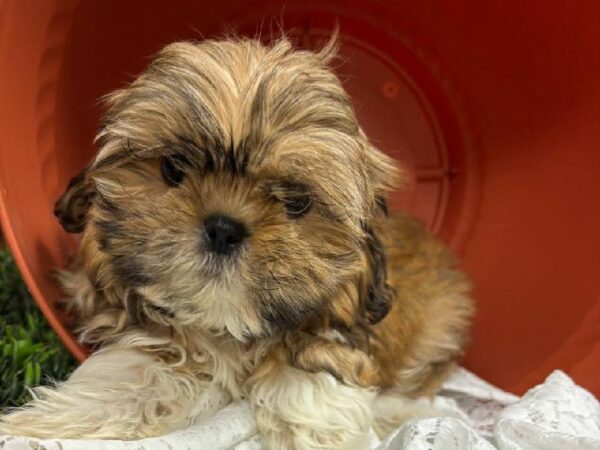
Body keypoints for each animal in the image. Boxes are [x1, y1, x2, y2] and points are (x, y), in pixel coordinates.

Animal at [0, 33, 474, 448]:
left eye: (297, 201)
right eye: (173, 167)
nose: (224, 228)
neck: (225, 326)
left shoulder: (340, 336)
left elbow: (312, 380)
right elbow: (134, 375)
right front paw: (37, 425)